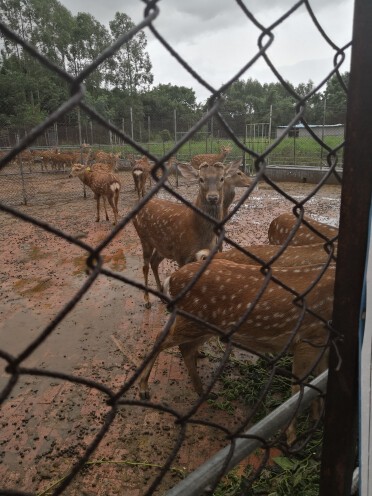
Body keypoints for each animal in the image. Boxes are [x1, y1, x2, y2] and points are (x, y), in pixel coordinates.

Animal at [132, 160, 243, 306]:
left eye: (222, 178)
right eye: (201, 179)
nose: (213, 197)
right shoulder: (181, 254)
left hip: (163, 246)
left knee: (154, 262)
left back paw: (161, 295)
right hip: (144, 238)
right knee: (145, 266)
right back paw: (147, 300)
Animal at [139, 260, 334, 446]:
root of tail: (171, 279)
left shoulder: (323, 345)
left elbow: (319, 381)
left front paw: (317, 418)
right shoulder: (309, 339)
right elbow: (299, 386)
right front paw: (292, 438)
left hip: (202, 325)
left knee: (180, 344)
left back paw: (201, 389)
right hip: (194, 321)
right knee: (163, 338)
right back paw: (144, 388)